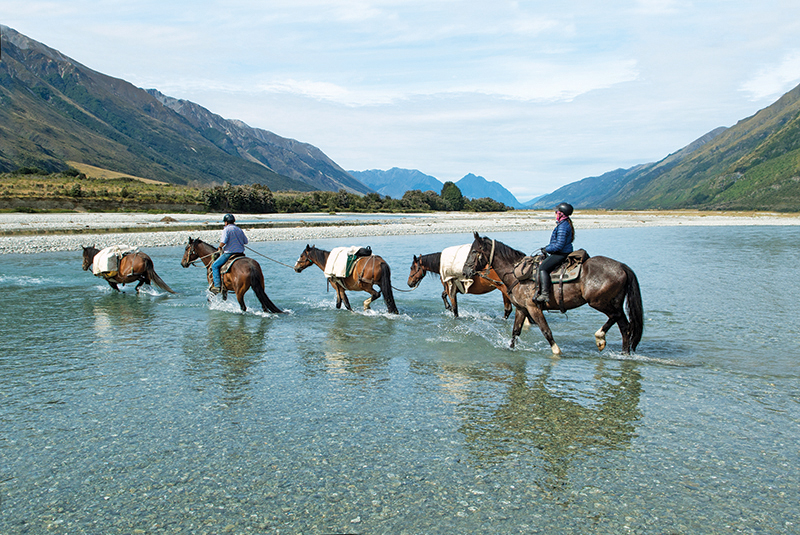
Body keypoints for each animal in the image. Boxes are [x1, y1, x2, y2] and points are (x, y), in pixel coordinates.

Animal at [463, 232, 643, 355]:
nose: (465, 271)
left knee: (618, 318)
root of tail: (622, 266)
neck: (516, 274)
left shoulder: (533, 308)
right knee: (624, 326)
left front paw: (557, 351)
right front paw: (510, 348)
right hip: (612, 301)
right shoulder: (521, 309)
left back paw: (600, 338)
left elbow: (546, 331)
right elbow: (515, 332)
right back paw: (622, 352)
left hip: (599, 301)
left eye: (474, 251)